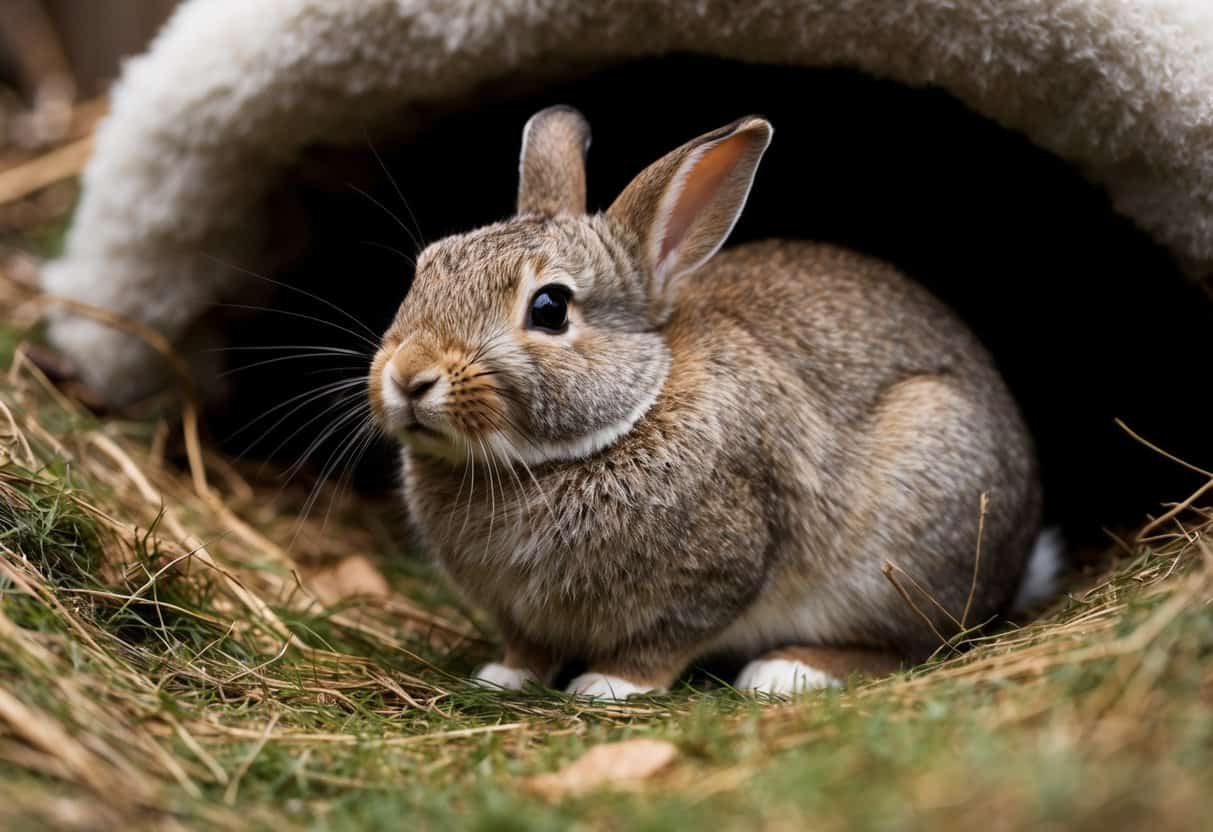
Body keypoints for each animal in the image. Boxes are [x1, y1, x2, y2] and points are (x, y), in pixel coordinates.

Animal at [368, 105, 1049, 699]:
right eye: (425, 270)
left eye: (550, 308)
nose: (409, 376)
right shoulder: (520, 615)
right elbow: (528, 647)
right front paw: (502, 677)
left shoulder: (717, 574)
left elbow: (665, 641)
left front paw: (609, 686)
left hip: (907, 536)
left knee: (913, 644)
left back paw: (786, 671)